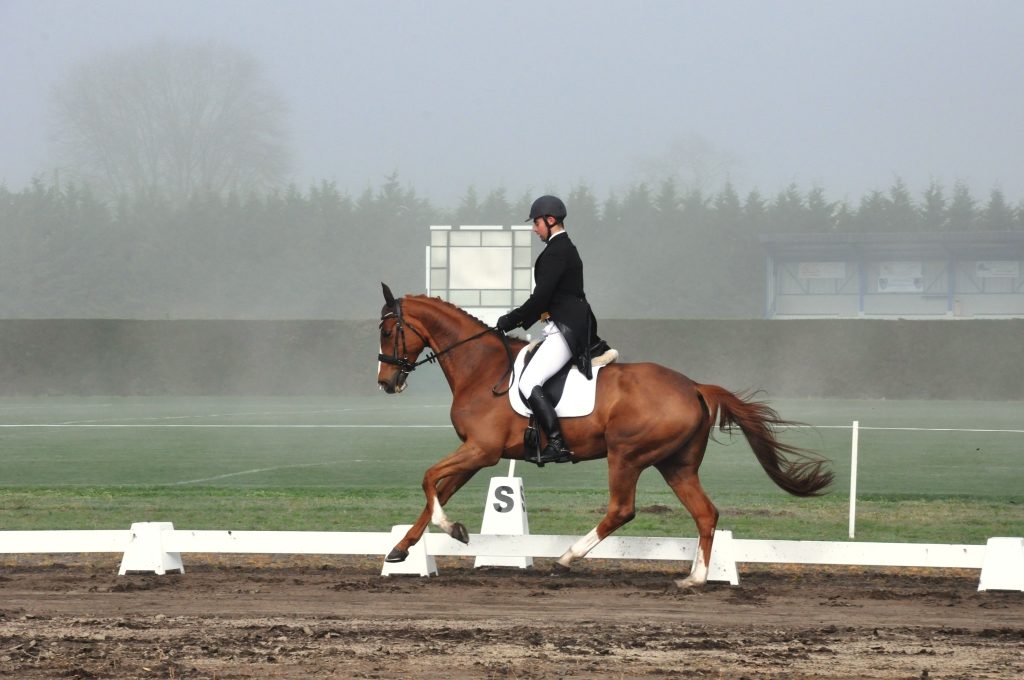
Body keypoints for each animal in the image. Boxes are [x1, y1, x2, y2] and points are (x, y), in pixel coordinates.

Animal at [376, 284, 831, 585]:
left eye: (386, 331)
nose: (386, 382)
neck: (482, 368)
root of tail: (694, 386)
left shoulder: (482, 450)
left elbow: (428, 479)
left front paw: (453, 530)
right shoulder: (474, 452)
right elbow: (438, 489)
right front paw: (402, 549)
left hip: (626, 455)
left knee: (622, 510)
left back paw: (566, 558)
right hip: (676, 464)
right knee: (706, 513)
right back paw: (695, 579)